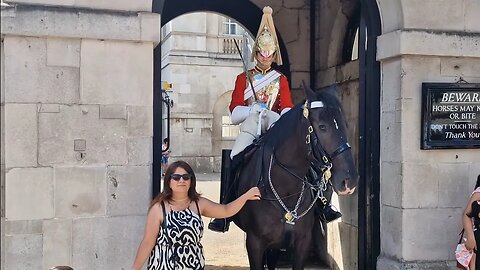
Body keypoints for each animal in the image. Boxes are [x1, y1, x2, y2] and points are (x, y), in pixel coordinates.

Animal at [231, 85, 358, 270]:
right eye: (322, 127)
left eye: (345, 125)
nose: (349, 180)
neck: (286, 189)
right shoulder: (254, 244)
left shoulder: (301, 243)